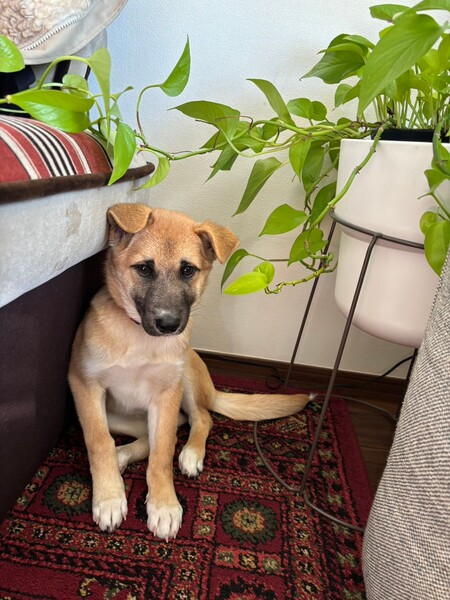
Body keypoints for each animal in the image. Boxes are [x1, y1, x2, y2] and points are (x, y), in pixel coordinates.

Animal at [68, 203, 310, 540]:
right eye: (144, 269)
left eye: (187, 271)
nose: (169, 325)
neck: (140, 337)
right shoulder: (84, 384)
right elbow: (100, 440)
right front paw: (109, 497)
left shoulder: (167, 395)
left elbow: (162, 453)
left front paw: (164, 504)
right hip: (118, 414)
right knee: (146, 436)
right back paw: (121, 457)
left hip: (187, 380)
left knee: (199, 419)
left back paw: (190, 453)